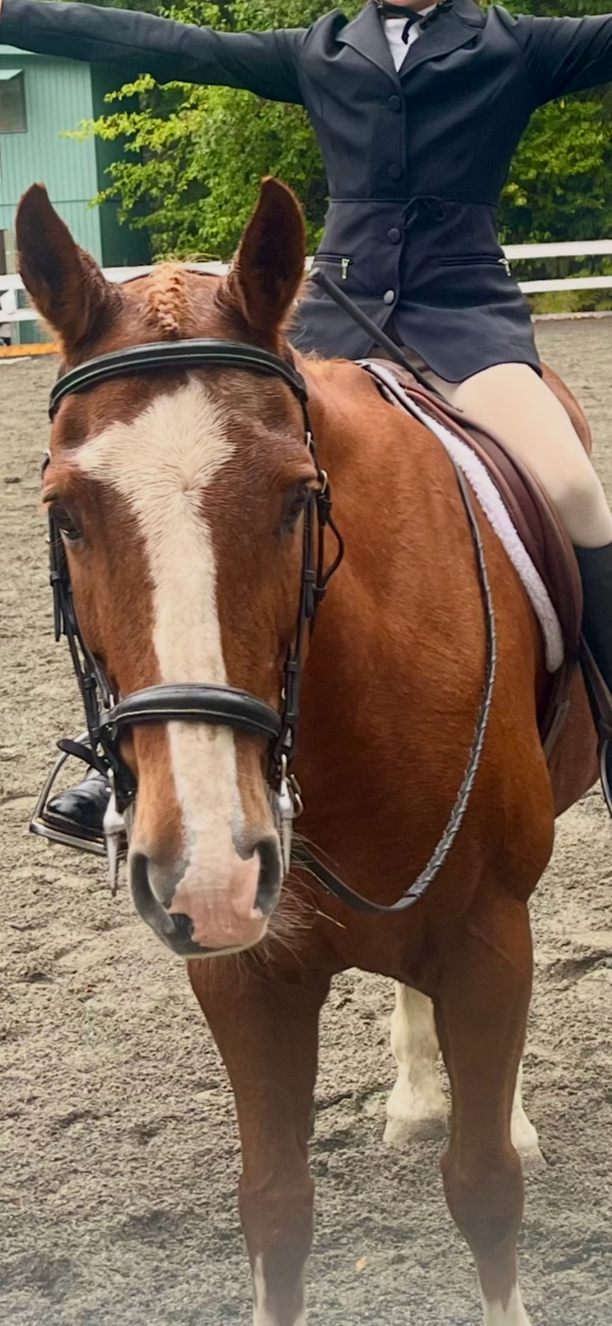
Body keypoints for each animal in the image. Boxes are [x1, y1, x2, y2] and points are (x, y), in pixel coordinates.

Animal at [17, 176, 598, 1326]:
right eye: (65, 513)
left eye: (297, 496)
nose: (210, 865)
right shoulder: (244, 971)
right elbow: (276, 1210)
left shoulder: (488, 937)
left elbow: (487, 1189)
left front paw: (494, 1131)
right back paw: (420, 1094)